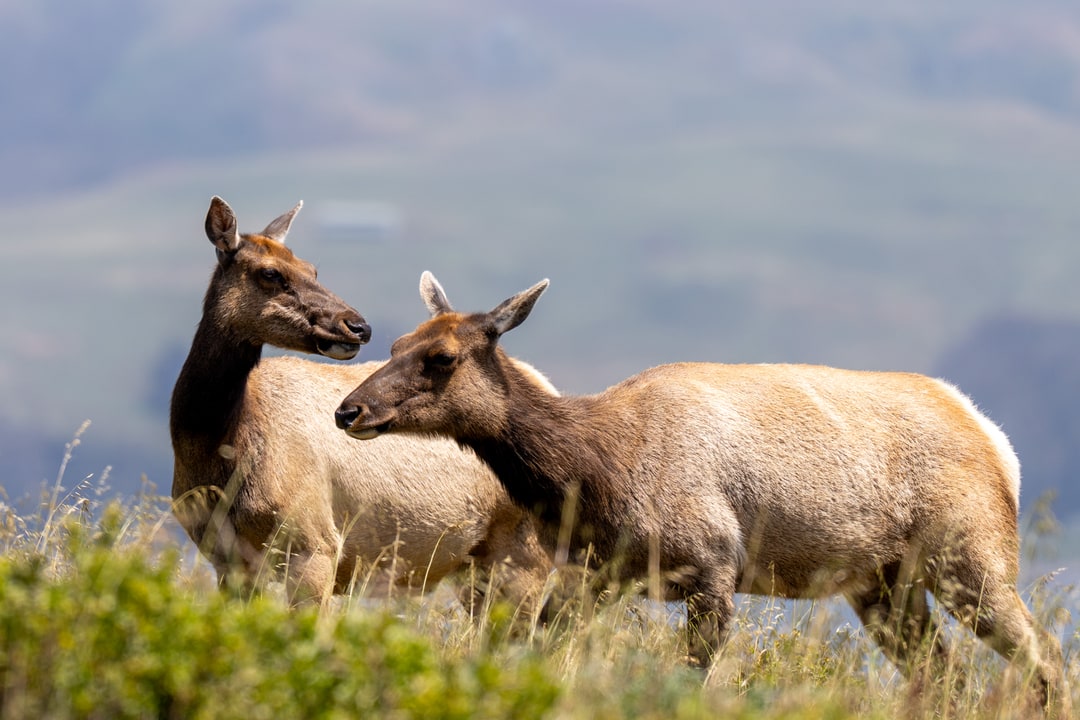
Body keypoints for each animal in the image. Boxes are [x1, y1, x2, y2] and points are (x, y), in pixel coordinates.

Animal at [170, 199, 552, 610]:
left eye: (312, 268)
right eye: (270, 272)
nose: (358, 326)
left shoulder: (315, 540)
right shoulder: (224, 556)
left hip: (524, 549)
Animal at [334, 271, 1071, 718]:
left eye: (442, 358)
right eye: (396, 342)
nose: (349, 410)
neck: (596, 476)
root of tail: (997, 442)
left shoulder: (714, 564)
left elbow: (690, 677)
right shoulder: (597, 575)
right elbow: (542, 655)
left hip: (970, 555)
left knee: (1047, 656)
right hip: (884, 584)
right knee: (947, 675)